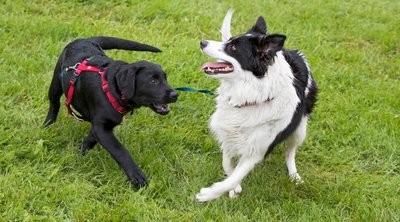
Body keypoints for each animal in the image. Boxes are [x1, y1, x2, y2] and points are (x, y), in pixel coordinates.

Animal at [42, 36, 178, 187]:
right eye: (153, 81)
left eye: (165, 78)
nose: (175, 94)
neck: (113, 88)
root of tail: (84, 39)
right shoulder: (102, 128)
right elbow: (120, 150)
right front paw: (137, 176)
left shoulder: (99, 126)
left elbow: (90, 140)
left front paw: (79, 154)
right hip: (56, 81)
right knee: (54, 104)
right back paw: (47, 125)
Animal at [195, 9, 318, 202]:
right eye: (229, 41)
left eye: (233, 48)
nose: (202, 42)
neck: (250, 96)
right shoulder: (229, 134)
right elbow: (228, 166)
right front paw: (234, 188)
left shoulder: (257, 149)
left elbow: (234, 176)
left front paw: (208, 194)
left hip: (300, 129)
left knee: (290, 152)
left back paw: (294, 176)